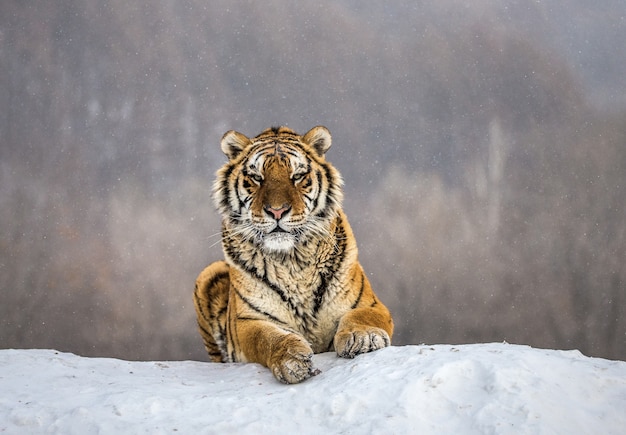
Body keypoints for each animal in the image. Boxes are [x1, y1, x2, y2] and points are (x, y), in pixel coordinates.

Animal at [193, 126, 392, 384]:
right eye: (257, 177)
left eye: (297, 176)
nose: (277, 211)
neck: (292, 261)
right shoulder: (248, 322)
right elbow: (267, 338)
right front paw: (292, 359)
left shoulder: (371, 304)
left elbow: (361, 317)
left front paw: (363, 338)